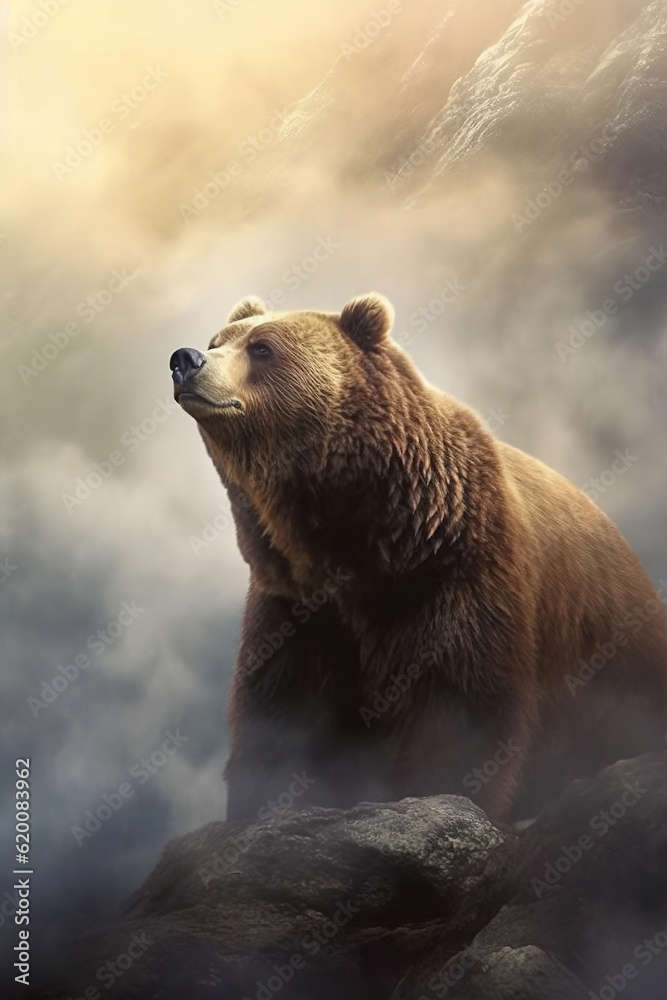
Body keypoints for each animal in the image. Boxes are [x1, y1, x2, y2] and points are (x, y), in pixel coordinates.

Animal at [169, 292, 667, 823]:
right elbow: (282, 706)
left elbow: (456, 701)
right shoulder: (295, 601)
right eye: (217, 340)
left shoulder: (455, 568)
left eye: (261, 347)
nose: (186, 359)